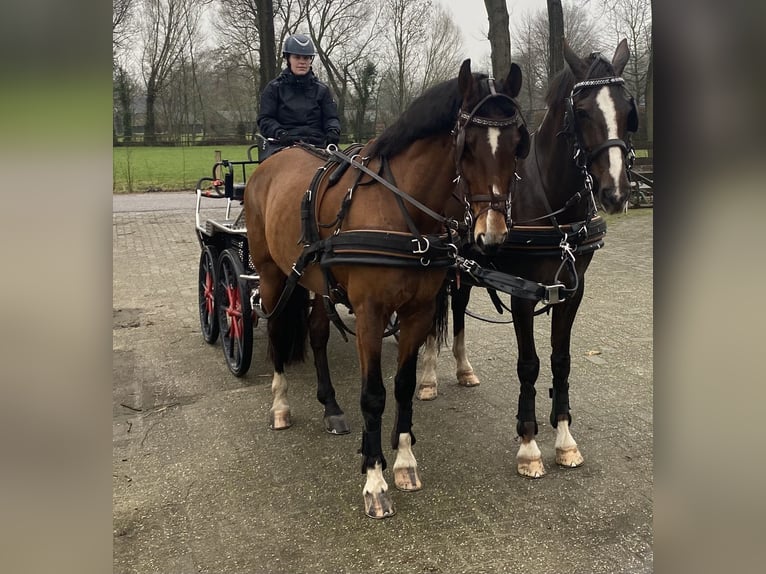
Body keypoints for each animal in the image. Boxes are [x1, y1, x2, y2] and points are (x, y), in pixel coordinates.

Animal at [243, 60, 532, 520]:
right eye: (466, 146)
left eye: (518, 144)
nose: (492, 235)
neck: (402, 211)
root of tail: (275, 161)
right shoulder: (370, 313)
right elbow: (374, 394)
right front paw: (374, 478)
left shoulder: (417, 312)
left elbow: (403, 386)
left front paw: (403, 461)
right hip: (271, 276)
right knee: (274, 335)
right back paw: (281, 406)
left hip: (316, 282)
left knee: (318, 334)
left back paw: (330, 406)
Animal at [416, 39, 640, 476]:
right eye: (582, 111)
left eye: (627, 109)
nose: (616, 193)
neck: (552, 203)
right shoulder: (522, 293)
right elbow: (529, 364)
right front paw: (529, 442)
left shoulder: (571, 291)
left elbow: (561, 359)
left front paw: (565, 438)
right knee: (433, 317)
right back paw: (429, 378)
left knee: (458, 307)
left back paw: (463, 369)